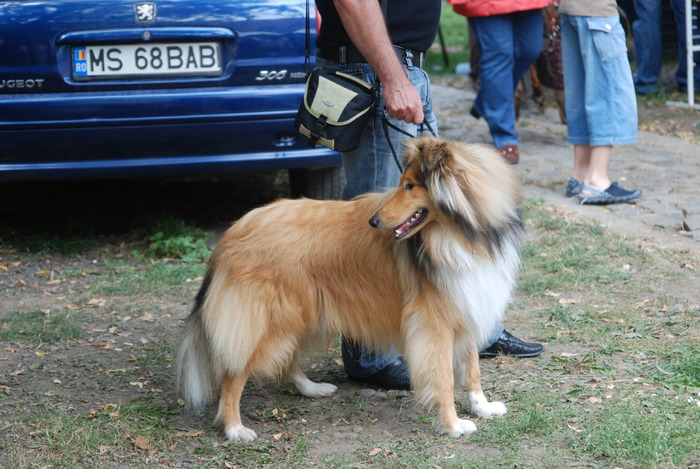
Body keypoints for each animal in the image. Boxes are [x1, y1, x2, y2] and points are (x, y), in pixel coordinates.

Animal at [176, 134, 524, 438]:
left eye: (411, 185)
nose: (374, 222)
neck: (463, 234)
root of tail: (232, 233)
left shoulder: (467, 303)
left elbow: (472, 370)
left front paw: (483, 408)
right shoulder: (434, 322)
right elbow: (445, 379)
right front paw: (453, 426)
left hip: (299, 313)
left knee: (286, 359)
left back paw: (312, 389)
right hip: (270, 319)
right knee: (233, 374)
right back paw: (235, 429)